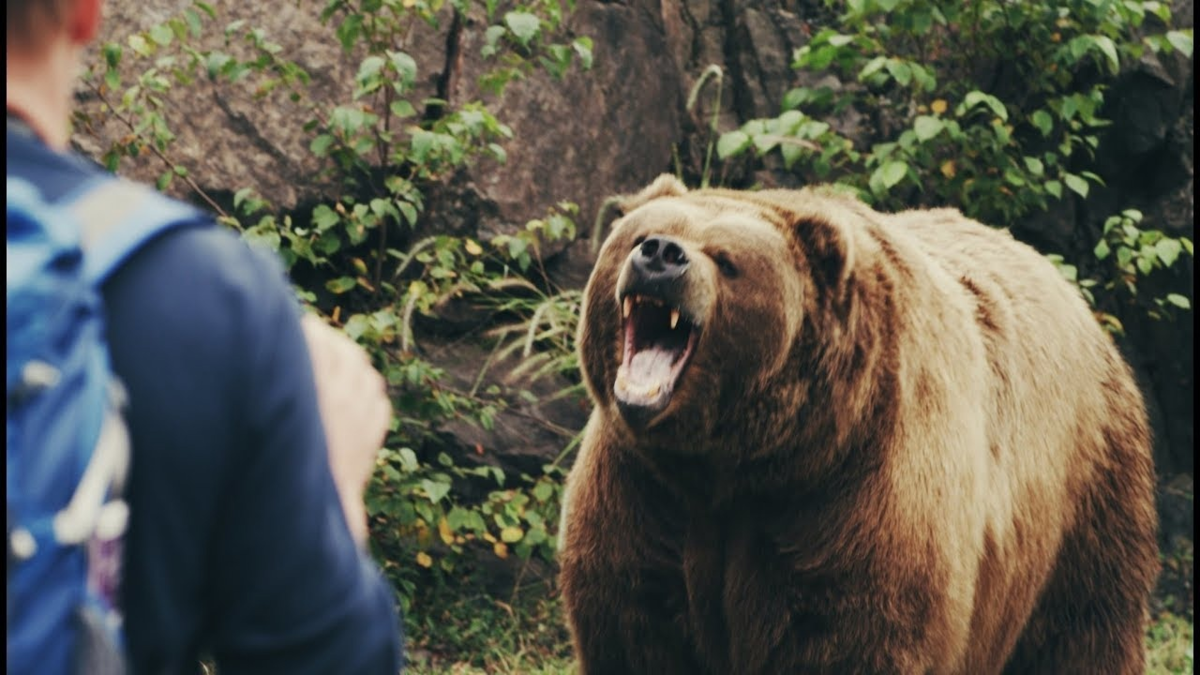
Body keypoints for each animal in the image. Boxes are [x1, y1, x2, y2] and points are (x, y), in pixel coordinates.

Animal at [559, 174, 1161, 672]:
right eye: (642, 234)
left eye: (726, 259)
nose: (662, 255)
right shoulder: (644, 491)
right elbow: (635, 624)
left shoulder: (859, 492)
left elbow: (851, 635)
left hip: (1085, 493)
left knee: (1084, 628)